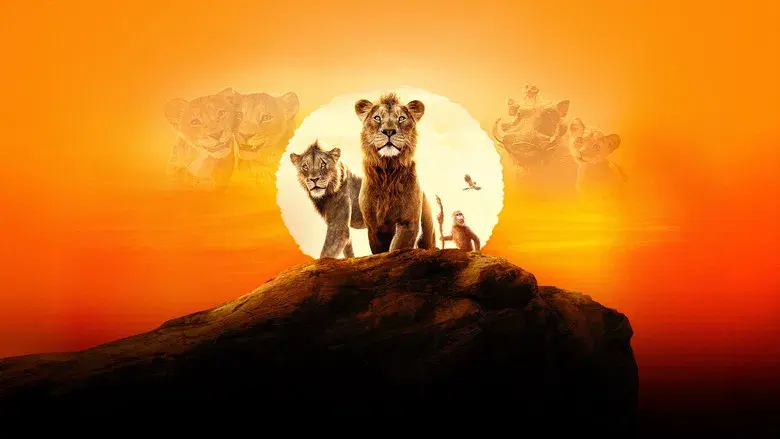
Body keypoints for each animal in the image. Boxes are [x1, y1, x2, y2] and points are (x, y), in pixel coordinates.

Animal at [354, 93, 436, 254]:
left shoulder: (408, 222)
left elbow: (398, 247)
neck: (388, 171)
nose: (389, 131)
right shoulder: (374, 227)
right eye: (377, 118)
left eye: (401, 118)